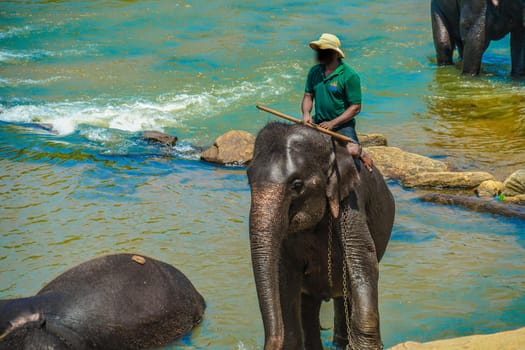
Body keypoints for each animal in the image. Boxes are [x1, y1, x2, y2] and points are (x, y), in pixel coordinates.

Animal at [248, 121, 396, 348]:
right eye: (248, 179)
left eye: (297, 185)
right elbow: (284, 273)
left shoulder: (351, 202)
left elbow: (362, 259)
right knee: (309, 304)